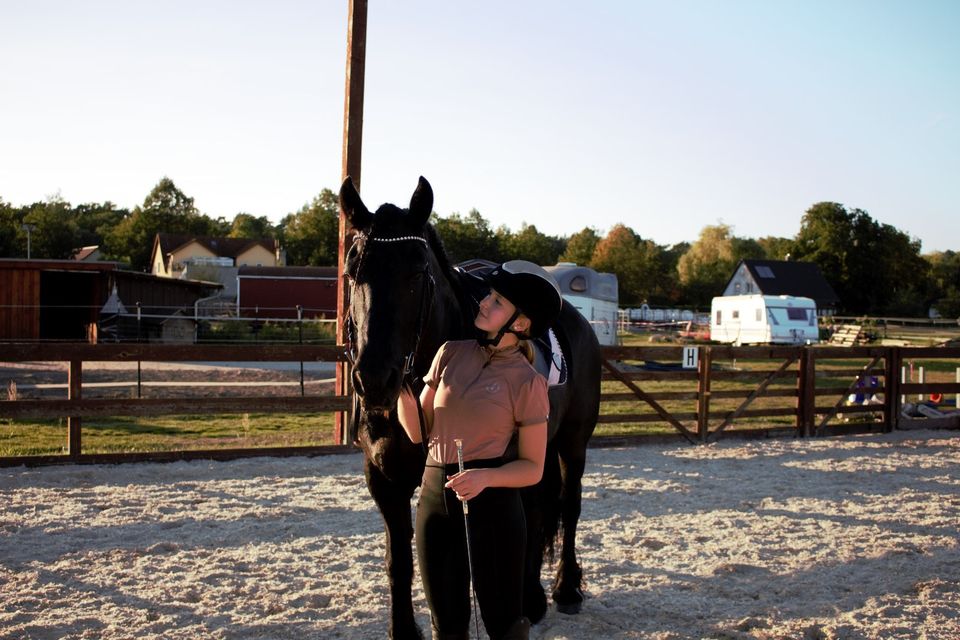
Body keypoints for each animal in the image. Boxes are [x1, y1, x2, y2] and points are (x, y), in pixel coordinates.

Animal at [340, 176, 600, 640]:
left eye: (417, 273)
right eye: (352, 273)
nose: (374, 379)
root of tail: (579, 323)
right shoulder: (384, 477)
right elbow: (399, 559)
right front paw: (403, 629)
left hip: (573, 443)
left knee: (568, 506)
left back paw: (565, 589)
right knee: (536, 511)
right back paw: (532, 598)